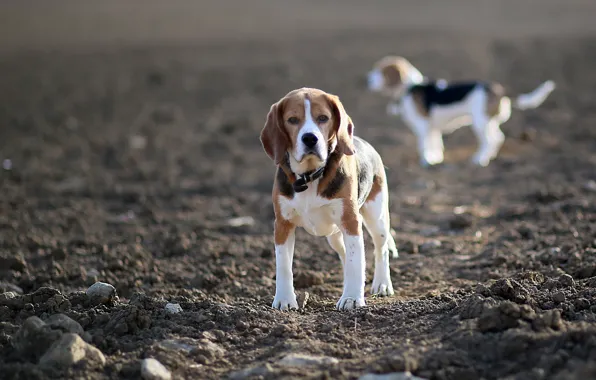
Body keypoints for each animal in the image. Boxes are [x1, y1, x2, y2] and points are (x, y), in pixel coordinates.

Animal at [260, 87, 396, 310]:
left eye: (323, 118)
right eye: (292, 120)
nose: (310, 138)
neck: (310, 175)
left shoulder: (350, 221)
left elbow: (356, 262)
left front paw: (352, 299)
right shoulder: (282, 224)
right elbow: (284, 266)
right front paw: (284, 300)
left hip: (377, 218)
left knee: (380, 249)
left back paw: (382, 284)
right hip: (334, 236)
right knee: (345, 254)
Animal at [366, 56, 556, 166]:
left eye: (381, 70)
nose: (366, 80)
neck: (410, 87)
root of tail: (498, 89)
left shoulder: (422, 126)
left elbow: (424, 145)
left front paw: (426, 160)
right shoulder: (433, 128)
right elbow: (436, 144)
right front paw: (435, 158)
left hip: (480, 123)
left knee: (491, 140)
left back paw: (480, 160)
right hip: (488, 122)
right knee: (498, 138)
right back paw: (489, 157)